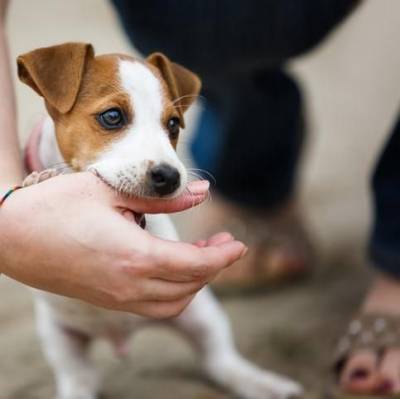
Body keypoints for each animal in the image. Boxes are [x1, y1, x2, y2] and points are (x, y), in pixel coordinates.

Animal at [17, 43, 302, 399]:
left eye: (174, 124)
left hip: (201, 315)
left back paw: (259, 382)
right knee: (78, 379)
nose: (170, 176)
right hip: (59, 339)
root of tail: (121, 335)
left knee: (219, 359)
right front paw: (41, 179)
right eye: (112, 116)